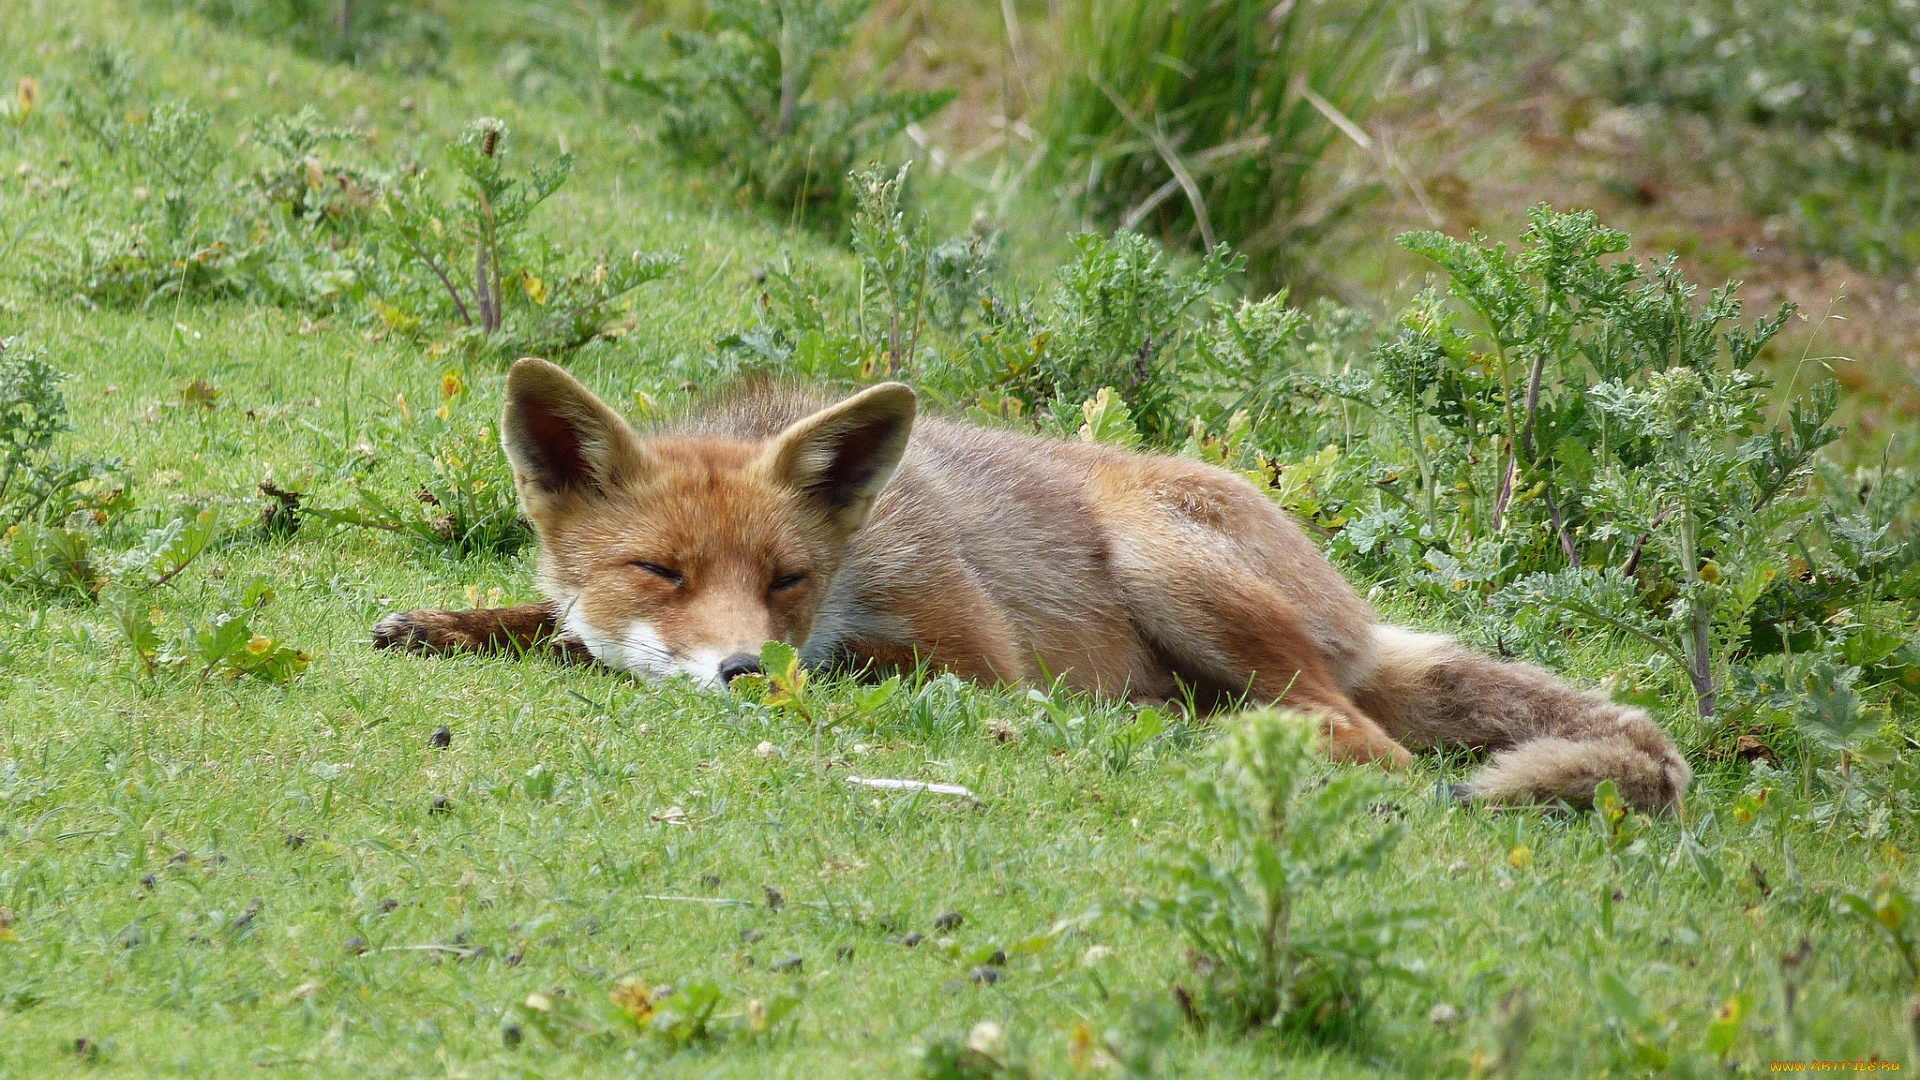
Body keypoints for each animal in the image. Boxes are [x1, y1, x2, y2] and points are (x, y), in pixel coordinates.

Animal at [374, 355, 1697, 807]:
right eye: (660, 568)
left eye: (788, 579)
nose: (746, 669)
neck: (857, 576)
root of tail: (1360, 616)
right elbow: (549, 620)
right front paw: (451, 621)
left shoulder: (973, 652)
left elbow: (870, 673)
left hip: (1165, 560)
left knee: (1361, 739)